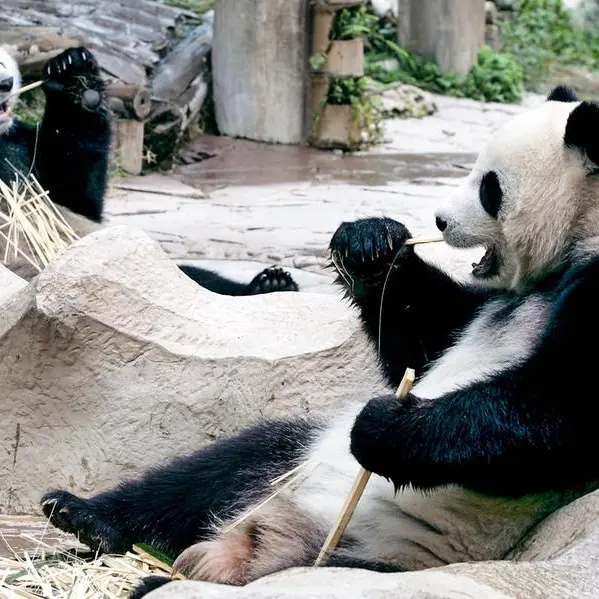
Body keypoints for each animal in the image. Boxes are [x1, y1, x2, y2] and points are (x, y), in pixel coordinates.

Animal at [0, 47, 298, 298]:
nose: (6, 84)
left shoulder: (26, 151)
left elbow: (75, 194)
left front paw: (74, 76)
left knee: (193, 278)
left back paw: (270, 284)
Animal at [38, 83, 599, 596]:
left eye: (489, 186)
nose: (440, 220)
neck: (577, 237)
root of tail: (260, 545)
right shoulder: (484, 305)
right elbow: (425, 339)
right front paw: (370, 245)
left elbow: (559, 412)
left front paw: (386, 426)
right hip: (288, 462)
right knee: (206, 474)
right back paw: (85, 515)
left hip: (372, 557)